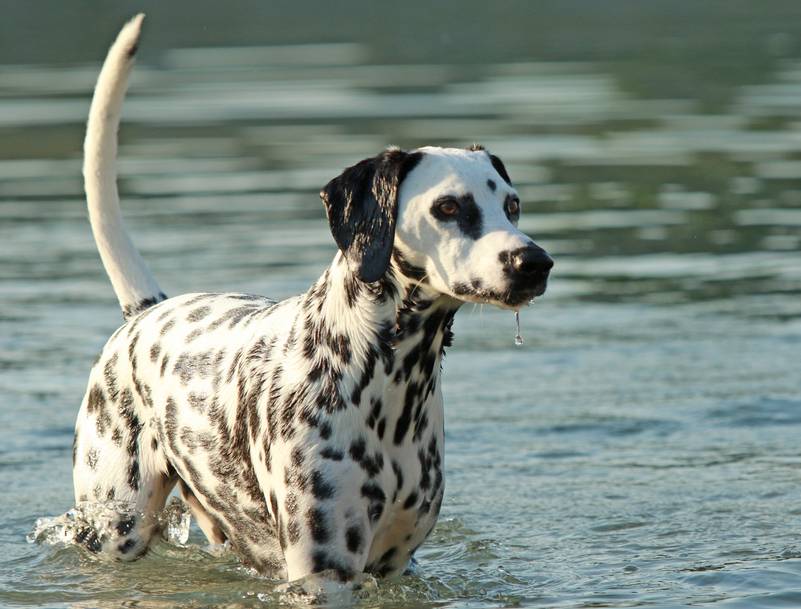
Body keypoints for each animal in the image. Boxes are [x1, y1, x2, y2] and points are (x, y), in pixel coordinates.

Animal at [72, 14, 552, 580]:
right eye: (449, 206)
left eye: (513, 205)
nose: (534, 262)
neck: (382, 383)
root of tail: (145, 312)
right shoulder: (323, 571)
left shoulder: (393, 567)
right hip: (116, 526)